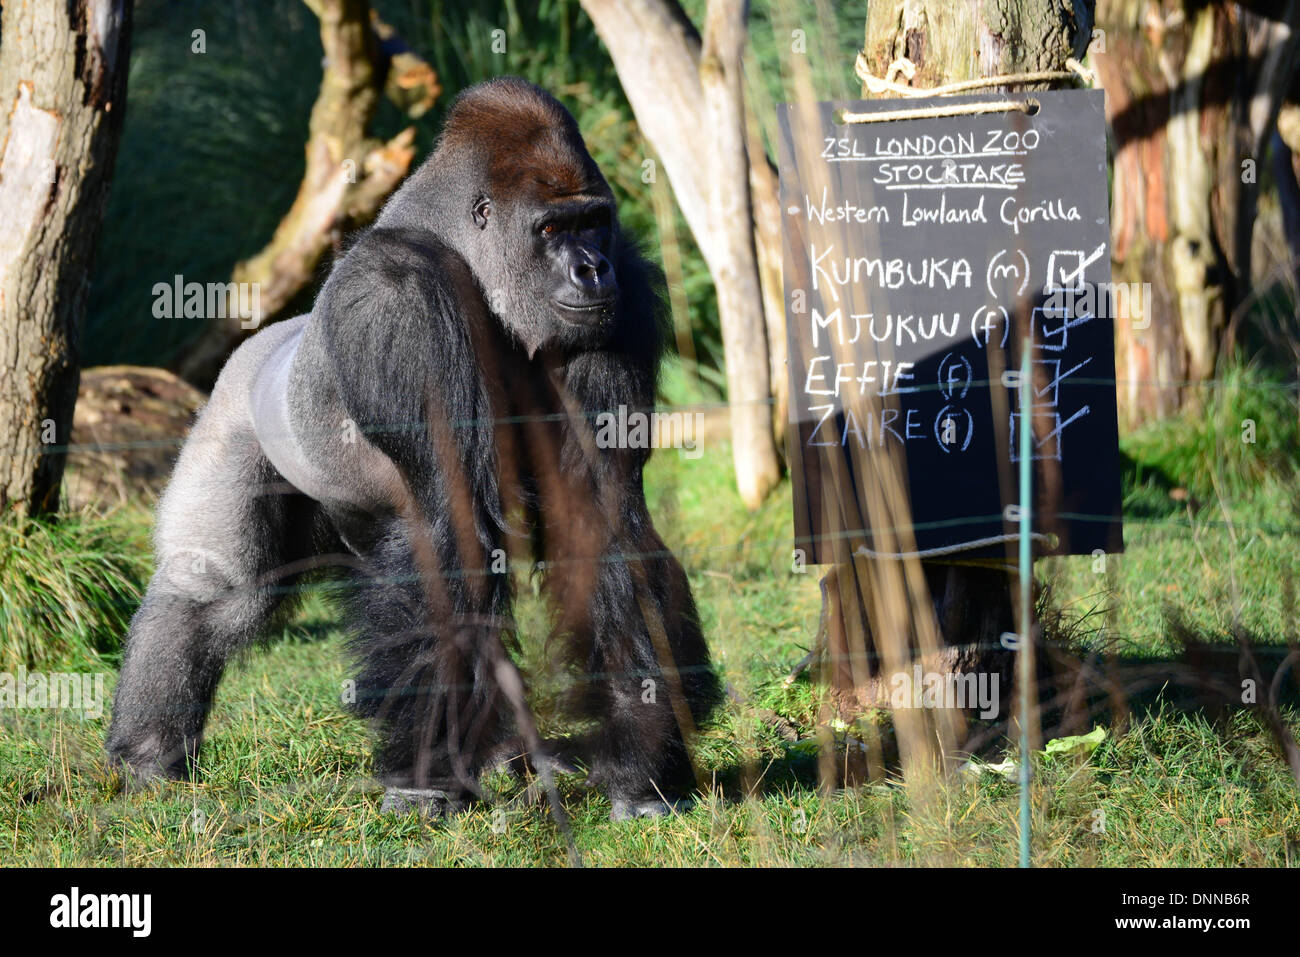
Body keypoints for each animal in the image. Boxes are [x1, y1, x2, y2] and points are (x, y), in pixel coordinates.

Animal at [105, 78, 722, 816]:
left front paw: (639, 761)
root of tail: (265, 339)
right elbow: (451, 526)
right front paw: (424, 778)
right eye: (553, 230)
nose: (592, 270)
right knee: (215, 589)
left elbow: (597, 514)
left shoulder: (619, 306)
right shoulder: (399, 293)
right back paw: (148, 751)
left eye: (594, 223)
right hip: (231, 414)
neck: (469, 258)